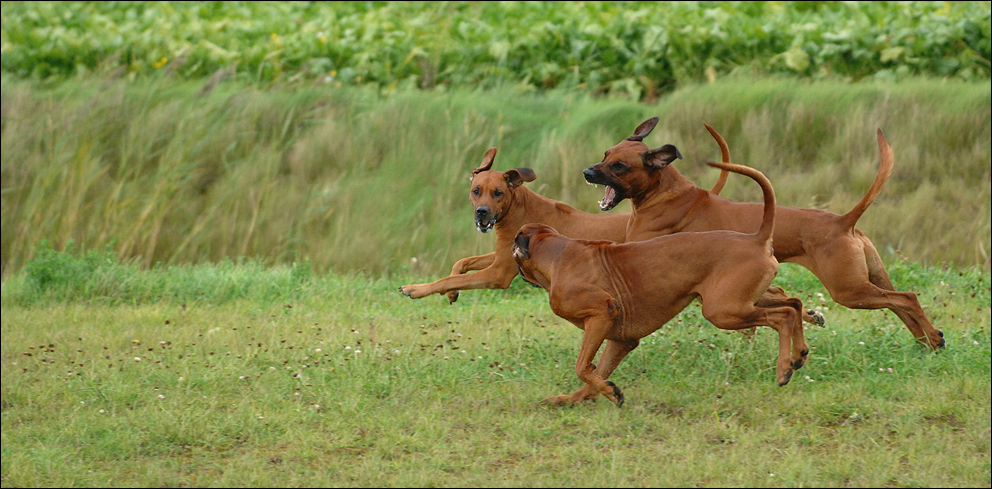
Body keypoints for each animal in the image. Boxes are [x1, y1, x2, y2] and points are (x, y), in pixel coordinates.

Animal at [516, 160, 808, 404]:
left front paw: (600, 392)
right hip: (746, 300)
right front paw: (587, 396)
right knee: (794, 304)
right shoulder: (621, 341)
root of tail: (756, 239)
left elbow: (581, 367)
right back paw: (798, 354)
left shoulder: (600, 316)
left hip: (723, 311)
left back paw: (783, 369)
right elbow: (595, 373)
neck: (557, 252)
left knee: (782, 316)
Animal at [584, 117, 940, 348]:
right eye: (605, 155)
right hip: (869, 281)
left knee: (905, 298)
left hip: (849, 290)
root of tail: (843, 221)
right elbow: (783, 299)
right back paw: (929, 339)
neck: (665, 191)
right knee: (901, 304)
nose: (587, 172)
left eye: (619, 166)